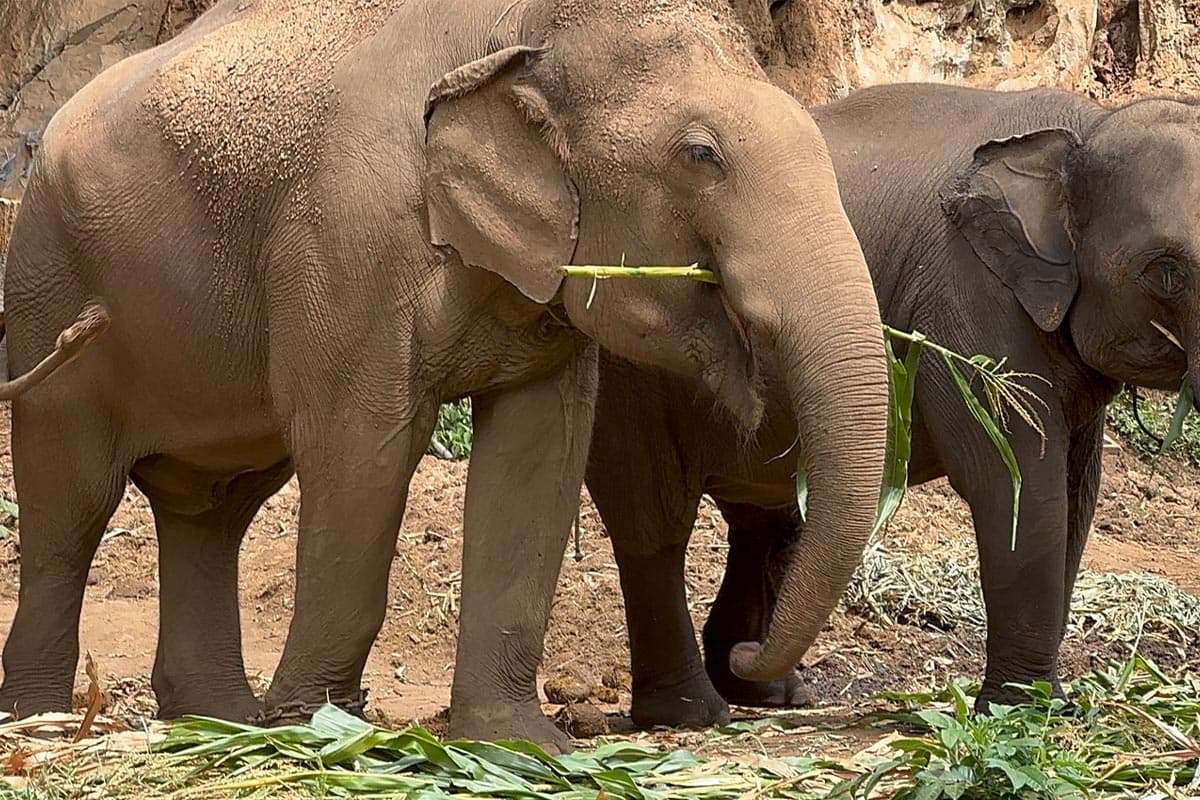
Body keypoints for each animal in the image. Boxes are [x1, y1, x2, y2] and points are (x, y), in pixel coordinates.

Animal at [0, 0, 891, 750]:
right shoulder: (346, 241)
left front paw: (519, 746)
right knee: (72, 508)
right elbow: (365, 450)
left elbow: (536, 458)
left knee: (213, 508)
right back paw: (46, 722)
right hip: (50, 290)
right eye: (701, 156)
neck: (528, 26)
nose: (742, 659)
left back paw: (220, 722)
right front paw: (319, 731)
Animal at [586, 81, 1200, 730]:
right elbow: (1018, 484)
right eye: (1166, 274)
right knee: (653, 524)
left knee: (768, 519)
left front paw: (1044, 706)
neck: (1088, 124)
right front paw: (1020, 714)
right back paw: (691, 712)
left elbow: (1077, 494)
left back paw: (765, 687)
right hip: (627, 372)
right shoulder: (965, 299)